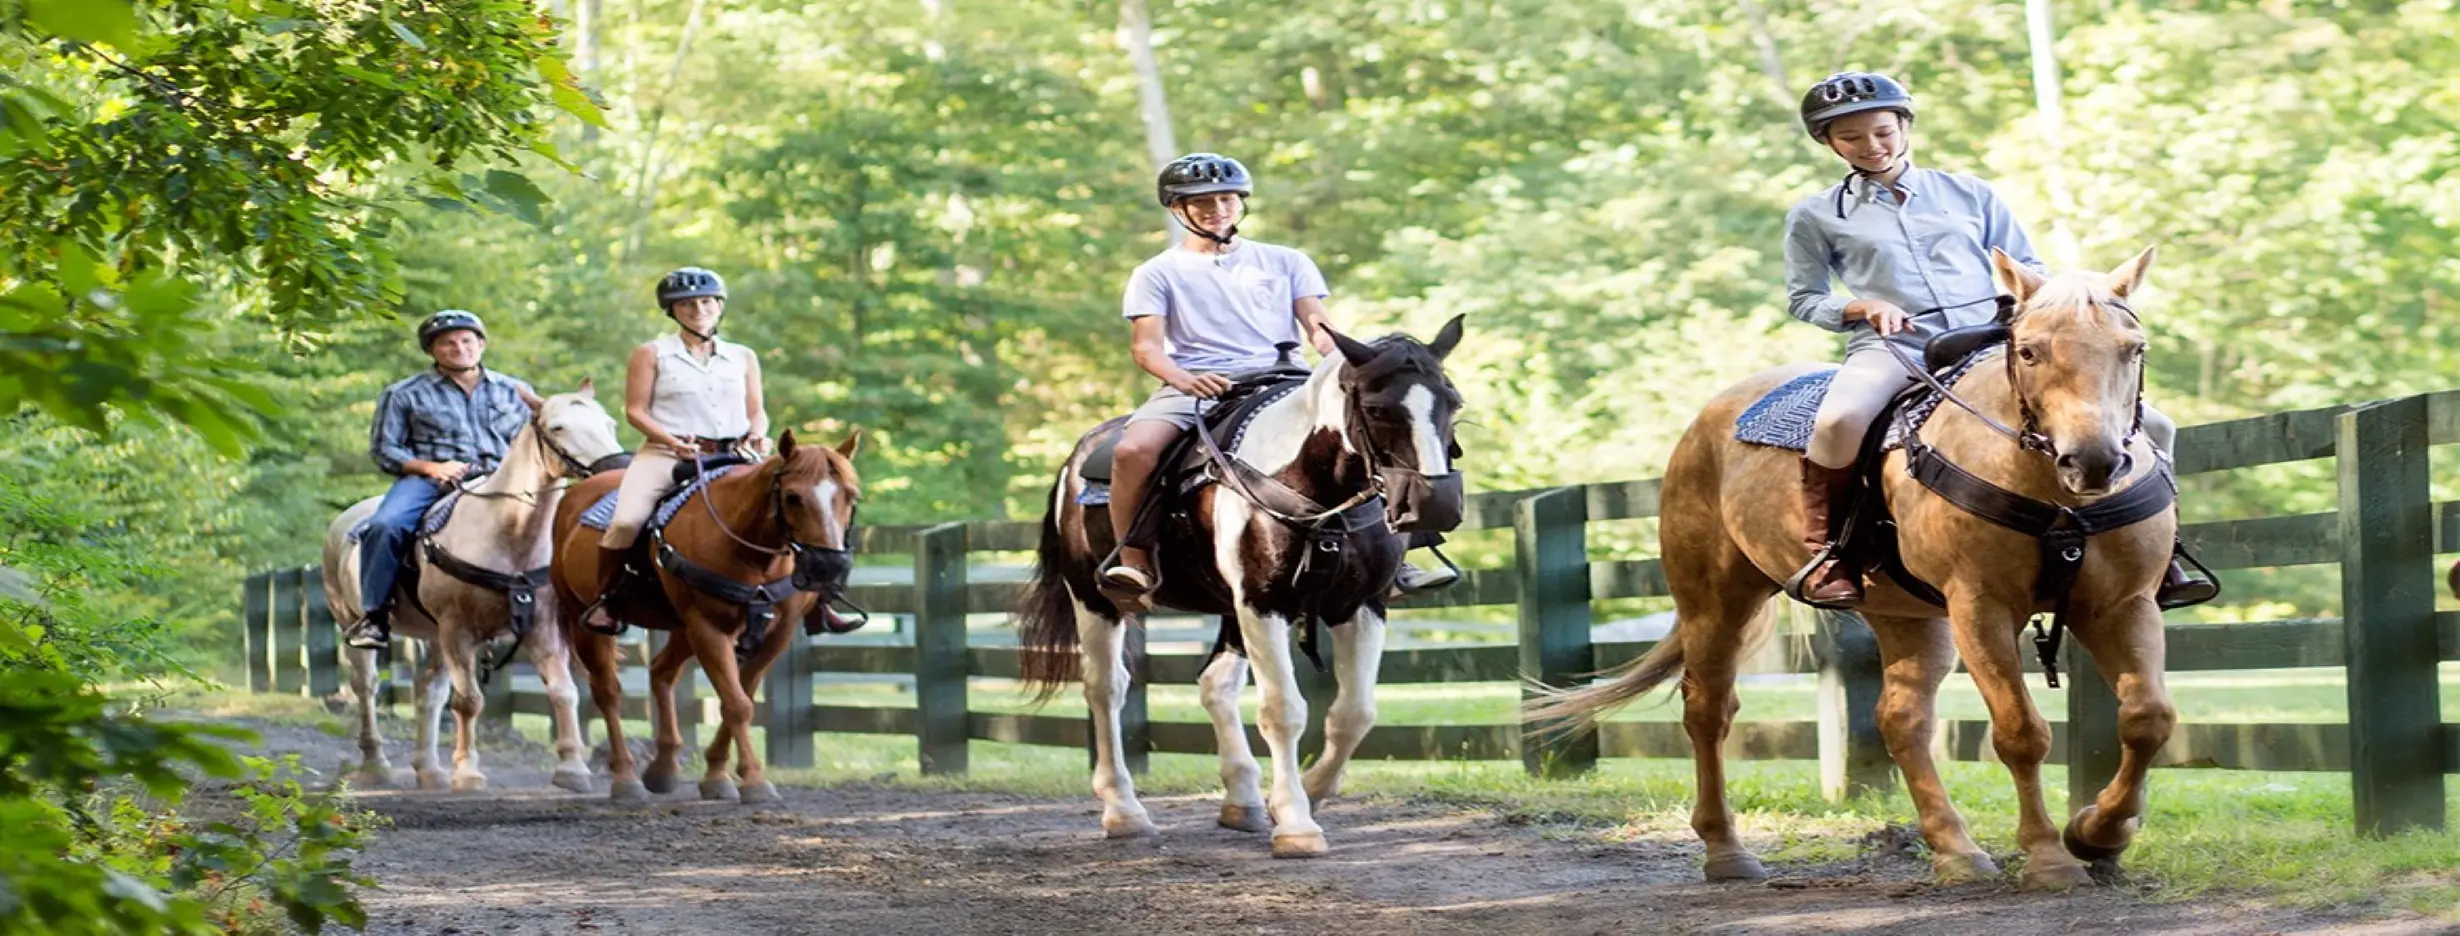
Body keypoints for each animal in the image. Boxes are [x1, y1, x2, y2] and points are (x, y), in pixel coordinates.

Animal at [319, 382, 626, 793]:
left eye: (609, 424)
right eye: (558, 427)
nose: (616, 468)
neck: (507, 533)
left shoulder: (540, 628)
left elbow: (563, 692)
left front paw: (572, 770)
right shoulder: (458, 630)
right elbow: (468, 701)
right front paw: (467, 773)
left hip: (434, 637)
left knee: (427, 691)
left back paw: (429, 770)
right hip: (357, 626)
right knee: (366, 687)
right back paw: (376, 765)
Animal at [548, 430, 863, 804]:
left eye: (852, 496)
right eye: (793, 496)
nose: (829, 567)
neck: (749, 550)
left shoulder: (777, 633)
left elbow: (741, 697)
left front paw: (716, 774)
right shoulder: (709, 628)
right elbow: (737, 703)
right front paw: (754, 780)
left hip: (682, 630)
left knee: (661, 672)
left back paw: (663, 767)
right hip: (589, 624)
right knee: (608, 692)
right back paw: (626, 777)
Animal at [1018, 317, 1467, 858]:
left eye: (1453, 401)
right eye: (1378, 409)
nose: (1436, 502)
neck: (1312, 488)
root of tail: (1074, 461)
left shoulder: (1360, 606)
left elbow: (1354, 713)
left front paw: (1308, 793)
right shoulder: (1261, 602)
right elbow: (1283, 710)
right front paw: (1295, 822)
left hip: (1227, 611)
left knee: (1215, 686)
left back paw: (1242, 800)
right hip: (1095, 599)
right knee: (1105, 688)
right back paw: (1124, 811)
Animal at [1527, 248, 2180, 891]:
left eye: (2134, 348)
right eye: (2029, 351)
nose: (2094, 462)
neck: (2051, 493)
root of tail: (1708, 421)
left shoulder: (2122, 605)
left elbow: (2147, 719)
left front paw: (2099, 834)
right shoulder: (1981, 608)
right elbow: (2021, 732)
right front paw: (2049, 855)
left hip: (1907, 616)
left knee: (1902, 720)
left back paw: (1955, 849)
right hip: (1715, 602)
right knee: (1708, 711)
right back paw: (1726, 850)